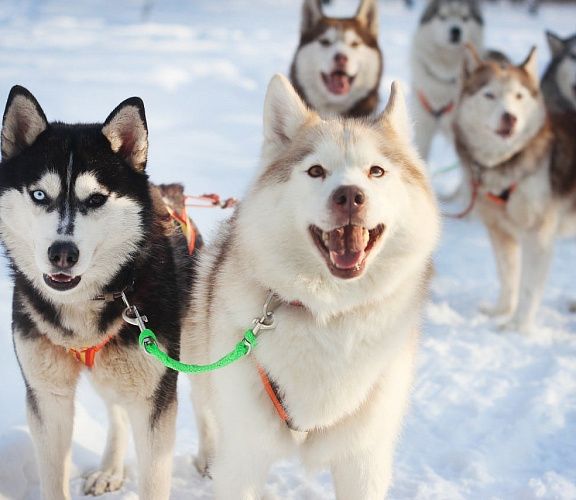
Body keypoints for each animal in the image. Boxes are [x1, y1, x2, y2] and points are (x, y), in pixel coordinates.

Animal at [0, 87, 198, 500]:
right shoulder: (47, 397)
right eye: (39, 195)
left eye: (95, 199)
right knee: (116, 409)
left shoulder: (154, 399)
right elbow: (53, 479)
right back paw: (109, 468)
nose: (62, 253)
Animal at [182, 75, 438, 500]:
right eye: (316, 171)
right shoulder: (243, 458)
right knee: (204, 411)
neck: (328, 314)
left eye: (376, 171)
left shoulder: (363, 460)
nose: (349, 195)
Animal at [454, 45, 576, 334]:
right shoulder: (499, 230)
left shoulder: (538, 236)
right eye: (489, 95)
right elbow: (508, 275)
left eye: (519, 96)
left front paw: (518, 325)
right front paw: (501, 311)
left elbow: (529, 288)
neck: (506, 163)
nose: (510, 117)